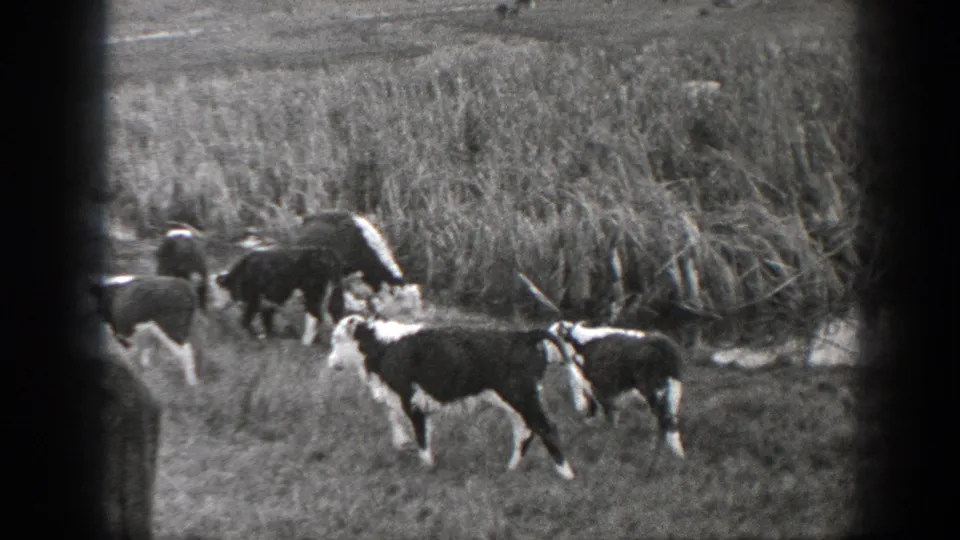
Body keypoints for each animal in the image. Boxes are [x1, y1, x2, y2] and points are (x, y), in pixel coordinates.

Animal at [210, 245, 359, 345]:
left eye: (215, 292)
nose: (216, 306)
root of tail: (325, 252)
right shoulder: (267, 304)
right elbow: (267, 322)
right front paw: (269, 338)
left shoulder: (254, 300)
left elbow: (245, 321)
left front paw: (255, 337)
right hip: (333, 292)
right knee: (335, 312)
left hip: (313, 293)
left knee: (314, 316)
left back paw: (306, 342)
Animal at [327, 314, 578, 480]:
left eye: (337, 339)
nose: (330, 362)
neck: (384, 346)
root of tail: (524, 336)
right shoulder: (396, 397)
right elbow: (393, 417)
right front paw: (402, 444)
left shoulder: (411, 398)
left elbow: (420, 434)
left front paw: (427, 465)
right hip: (515, 401)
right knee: (524, 431)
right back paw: (511, 469)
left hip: (521, 396)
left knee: (545, 427)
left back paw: (566, 474)